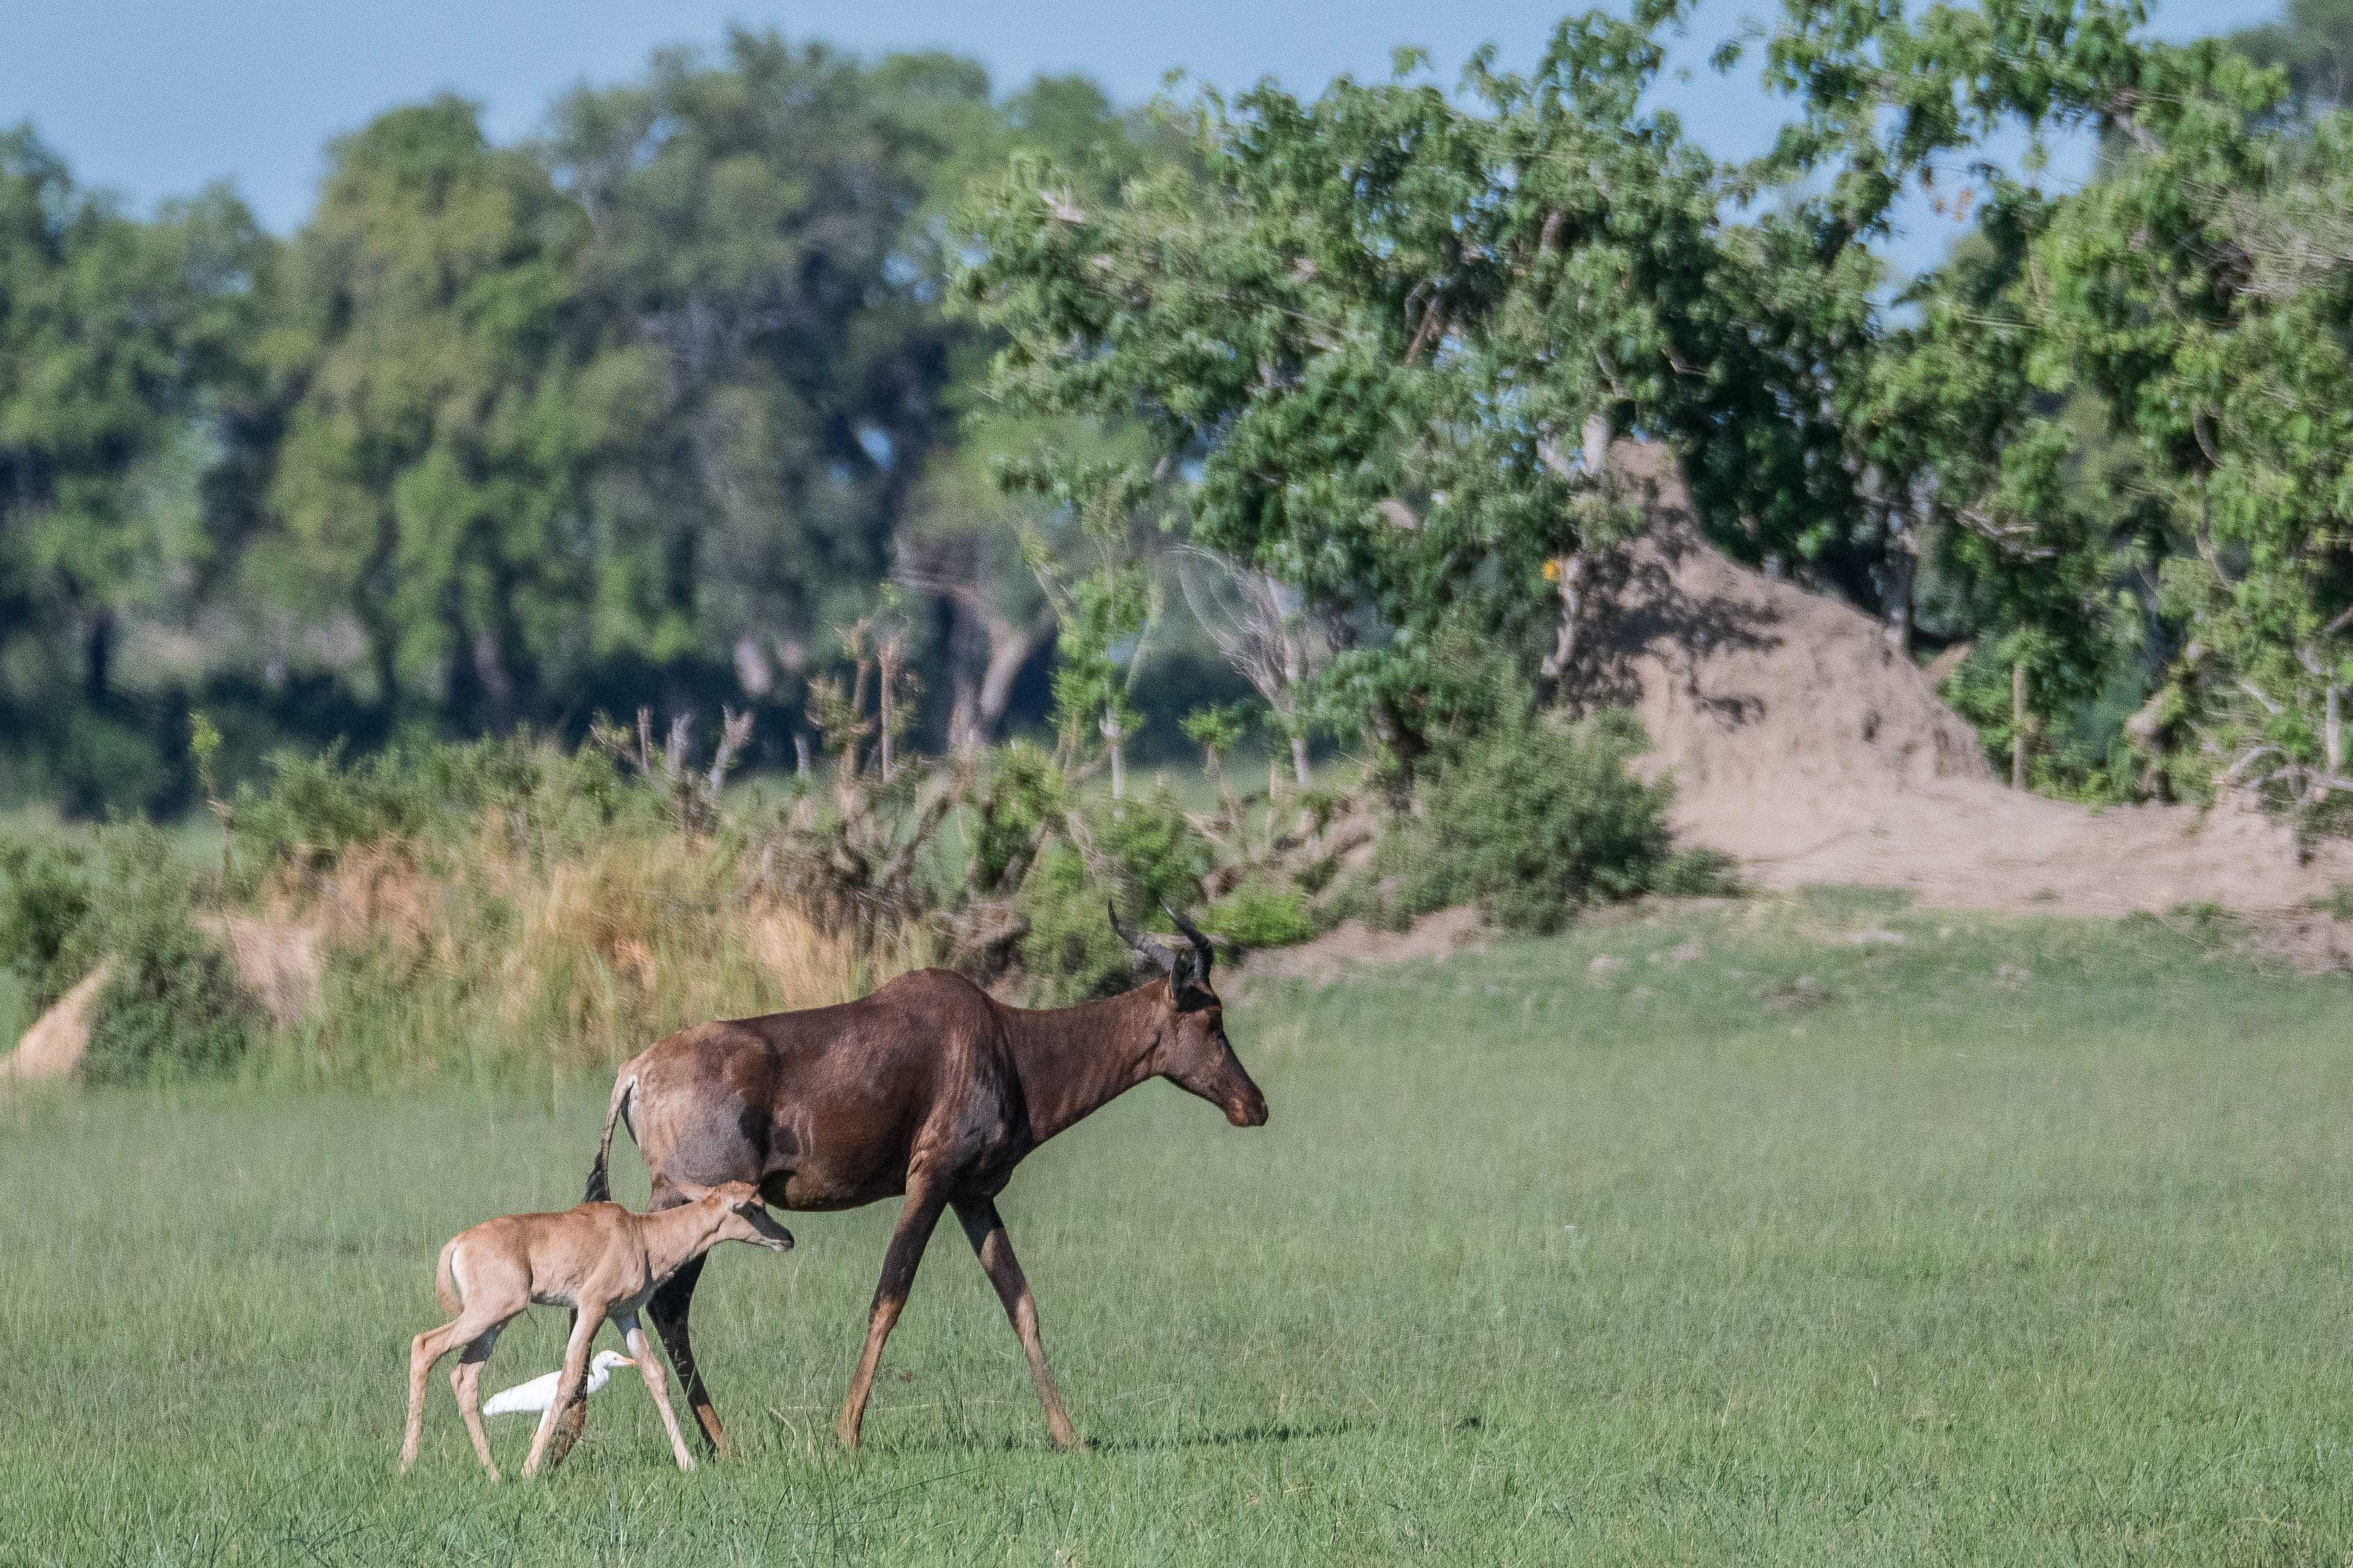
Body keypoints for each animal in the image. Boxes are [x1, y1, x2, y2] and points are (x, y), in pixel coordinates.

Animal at [400, 1189, 795, 1485]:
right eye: (755, 1207)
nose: (788, 1238)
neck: (640, 1233)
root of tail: (459, 1243)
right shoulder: (592, 1308)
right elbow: (570, 1377)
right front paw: (529, 1470)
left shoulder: (625, 1314)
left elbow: (654, 1374)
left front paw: (688, 1464)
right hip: (490, 1312)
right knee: (424, 1345)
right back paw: (407, 1464)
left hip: (495, 1323)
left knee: (464, 1376)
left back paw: (494, 1474)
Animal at [543, 907, 1270, 1476]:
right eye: (1211, 1018)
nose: (1254, 1105)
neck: (1000, 1037)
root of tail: (636, 1070)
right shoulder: (932, 1177)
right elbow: (889, 1294)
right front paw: (845, 1435)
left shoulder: (974, 1195)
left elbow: (1021, 1303)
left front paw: (1070, 1438)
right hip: (696, 1206)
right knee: (663, 1303)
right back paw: (713, 1444)